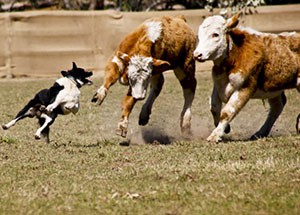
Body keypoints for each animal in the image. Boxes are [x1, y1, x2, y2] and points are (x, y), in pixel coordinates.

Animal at [193, 12, 300, 142]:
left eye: (215, 34)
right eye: (199, 36)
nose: (197, 55)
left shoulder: (245, 87)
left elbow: (227, 111)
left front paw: (215, 135)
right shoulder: (218, 85)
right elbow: (213, 107)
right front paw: (226, 128)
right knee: (277, 106)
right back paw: (261, 132)